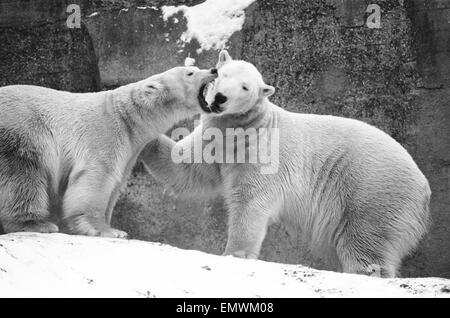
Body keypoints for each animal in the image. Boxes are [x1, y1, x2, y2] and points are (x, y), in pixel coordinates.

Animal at [0, 66, 218, 237]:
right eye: (190, 72)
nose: (214, 70)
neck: (123, 114)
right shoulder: (104, 133)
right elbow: (98, 177)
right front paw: (109, 230)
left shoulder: (131, 148)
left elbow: (117, 184)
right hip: (21, 132)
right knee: (22, 175)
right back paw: (37, 223)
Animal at [142, 51, 430, 278]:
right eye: (221, 74)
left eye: (245, 87)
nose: (221, 98)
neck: (244, 129)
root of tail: (423, 187)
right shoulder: (214, 140)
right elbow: (185, 167)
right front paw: (146, 136)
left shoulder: (263, 155)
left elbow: (250, 202)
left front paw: (234, 254)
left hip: (373, 191)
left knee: (364, 240)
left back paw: (364, 273)